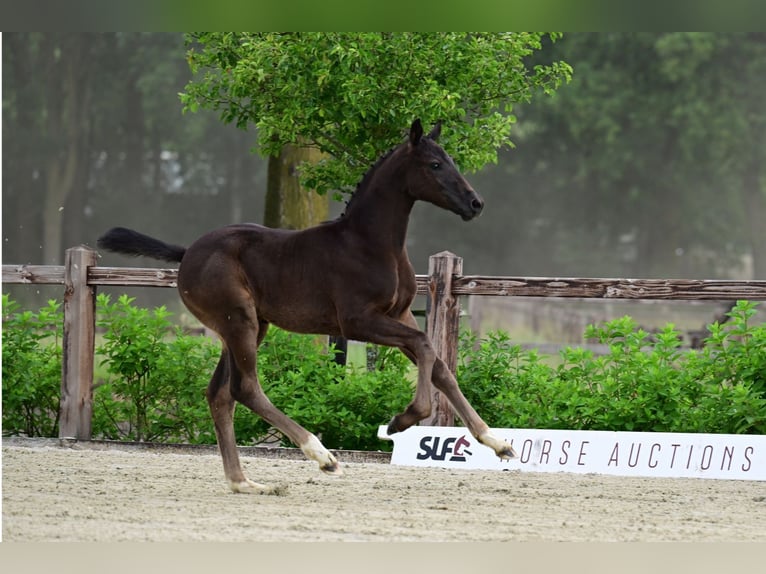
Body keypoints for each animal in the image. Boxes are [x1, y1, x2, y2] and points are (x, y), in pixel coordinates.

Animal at [97, 119, 517, 494]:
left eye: (450, 160)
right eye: (434, 164)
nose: (475, 203)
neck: (370, 243)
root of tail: (186, 254)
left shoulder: (396, 315)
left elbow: (441, 367)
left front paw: (497, 442)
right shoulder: (358, 322)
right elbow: (426, 345)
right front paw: (401, 420)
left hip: (247, 327)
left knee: (219, 394)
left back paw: (245, 482)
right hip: (240, 322)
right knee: (245, 388)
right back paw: (322, 455)